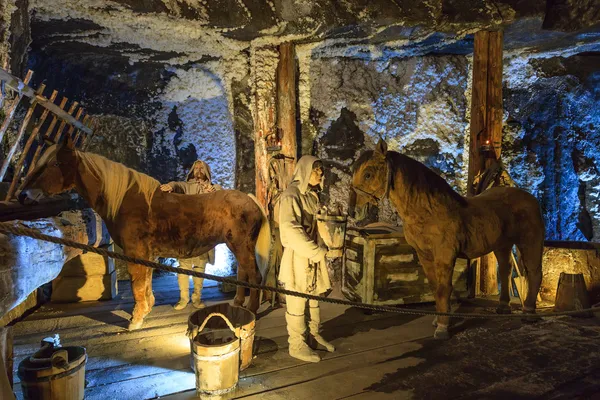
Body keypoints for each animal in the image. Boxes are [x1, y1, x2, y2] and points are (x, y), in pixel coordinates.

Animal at [19, 136, 270, 330]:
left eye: (54, 163)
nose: (24, 194)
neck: (125, 201)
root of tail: (250, 199)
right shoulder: (147, 254)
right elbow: (146, 281)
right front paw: (146, 309)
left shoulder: (135, 252)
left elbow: (137, 284)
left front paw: (135, 319)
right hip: (236, 245)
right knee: (243, 273)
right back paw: (238, 303)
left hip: (241, 245)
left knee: (254, 275)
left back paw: (252, 310)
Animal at [352, 139, 544, 340]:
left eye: (368, 174)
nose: (355, 211)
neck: (428, 211)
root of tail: (530, 198)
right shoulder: (425, 255)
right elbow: (435, 287)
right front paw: (438, 320)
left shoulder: (444, 256)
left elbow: (444, 289)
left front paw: (443, 328)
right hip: (502, 245)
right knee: (506, 270)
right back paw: (503, 307)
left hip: (530, 242)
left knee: (534, 272)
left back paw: (529, 313)